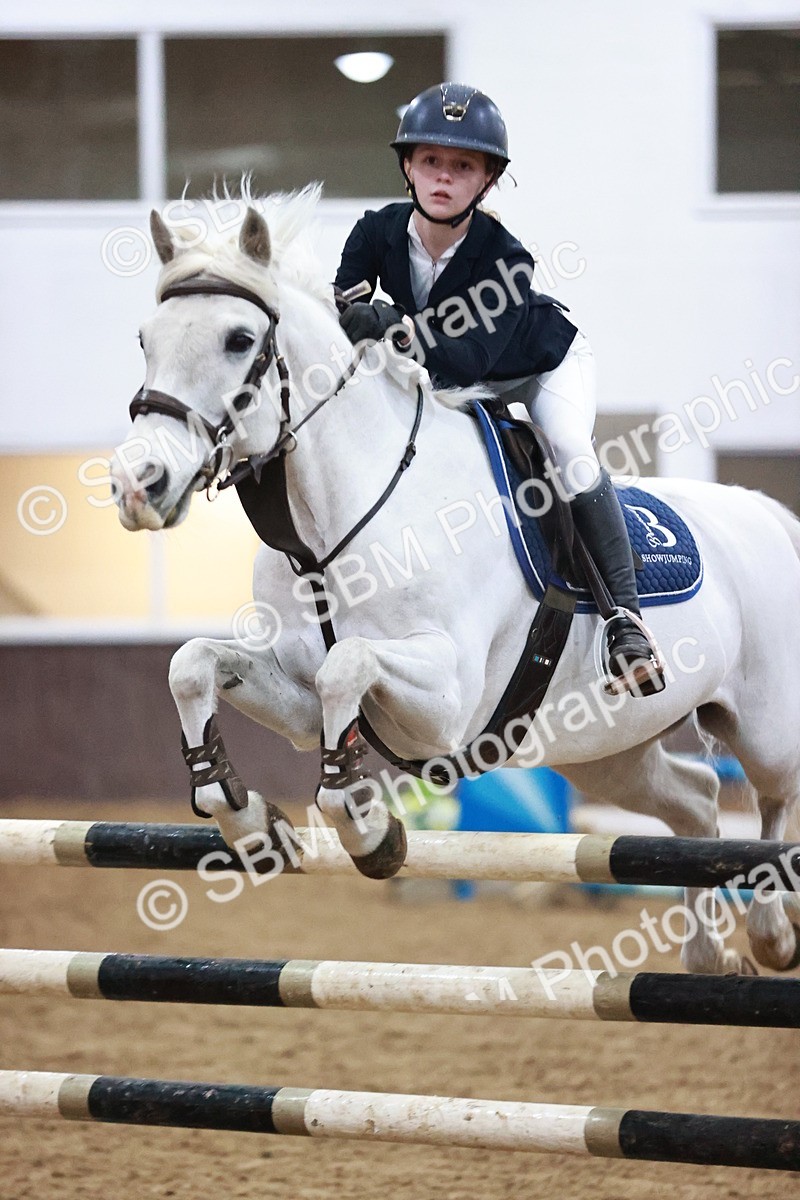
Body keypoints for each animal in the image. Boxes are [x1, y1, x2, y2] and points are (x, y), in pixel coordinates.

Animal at [110, 185, 800, 977]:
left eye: (237, 339)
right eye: (145, 339)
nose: (137, 485)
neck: (336, 516)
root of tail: (769, 514)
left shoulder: (445, 704)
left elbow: (347, 667)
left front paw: (366, 826)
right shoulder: (296, 692)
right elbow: (193, 665)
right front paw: (247, 818)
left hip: (766, 727)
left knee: (773, 802)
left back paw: (773, 933)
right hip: (605, 750)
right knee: (694, 800)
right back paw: (710, 957)